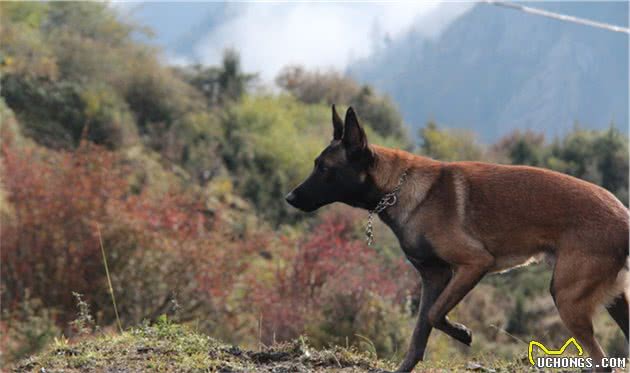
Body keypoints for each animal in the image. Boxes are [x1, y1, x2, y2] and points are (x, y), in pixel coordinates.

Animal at [288, 105, 630, 372]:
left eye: (324, 168)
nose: (289, 197)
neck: (398, 187)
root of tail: (622, 218)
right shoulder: (433, 277)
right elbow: (419, 333)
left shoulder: (472, 264)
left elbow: (435, 314)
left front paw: (462, 332)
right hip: (614, 301)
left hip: (566, 296)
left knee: (603, 362)